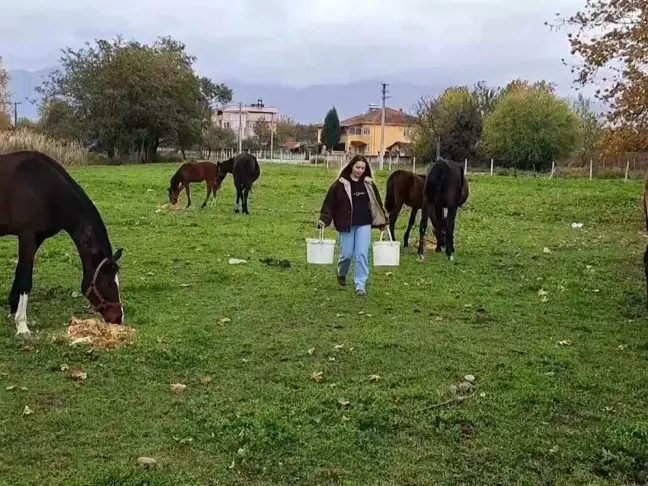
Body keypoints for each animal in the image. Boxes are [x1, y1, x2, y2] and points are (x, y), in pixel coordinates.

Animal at [0, 151, 123, 338]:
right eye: (106, 283)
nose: (118, 318)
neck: (46, 188)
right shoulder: (27, 236)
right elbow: (25, 279)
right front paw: (22, 326)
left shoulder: (37, 238)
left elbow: (20, 272)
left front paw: (13, 308)